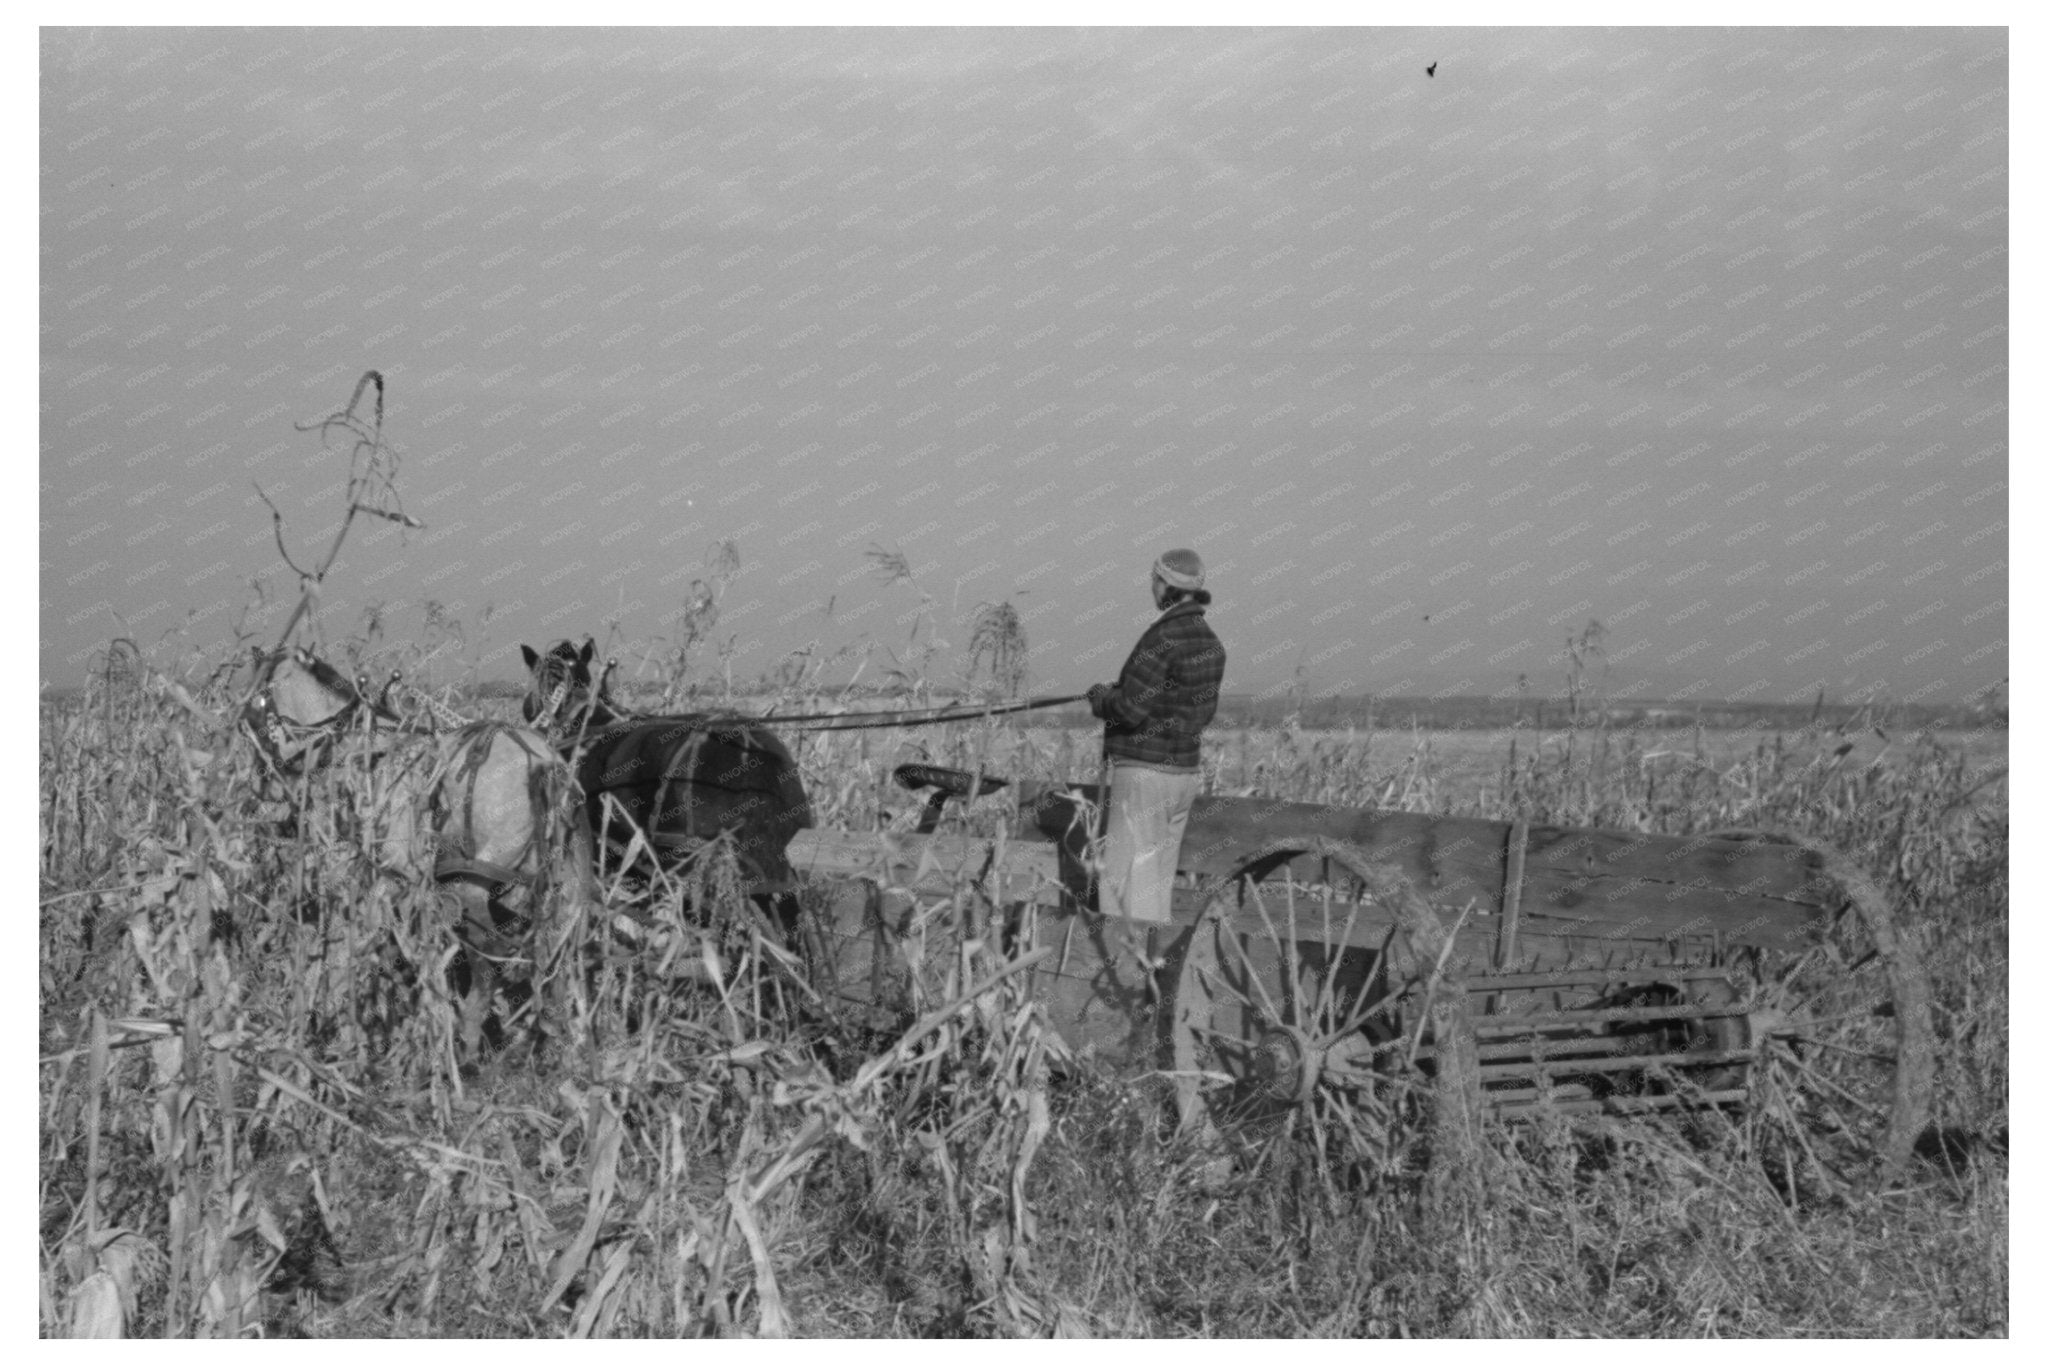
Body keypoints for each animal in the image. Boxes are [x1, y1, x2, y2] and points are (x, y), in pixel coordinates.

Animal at [249, 646, 585, 1055]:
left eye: (255, 701)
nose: (262, 783)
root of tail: (540, 761)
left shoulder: (374, 875)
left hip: (471, 884)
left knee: (489, 957)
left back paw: (468, 1038)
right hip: (559, 884)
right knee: (555, 950)